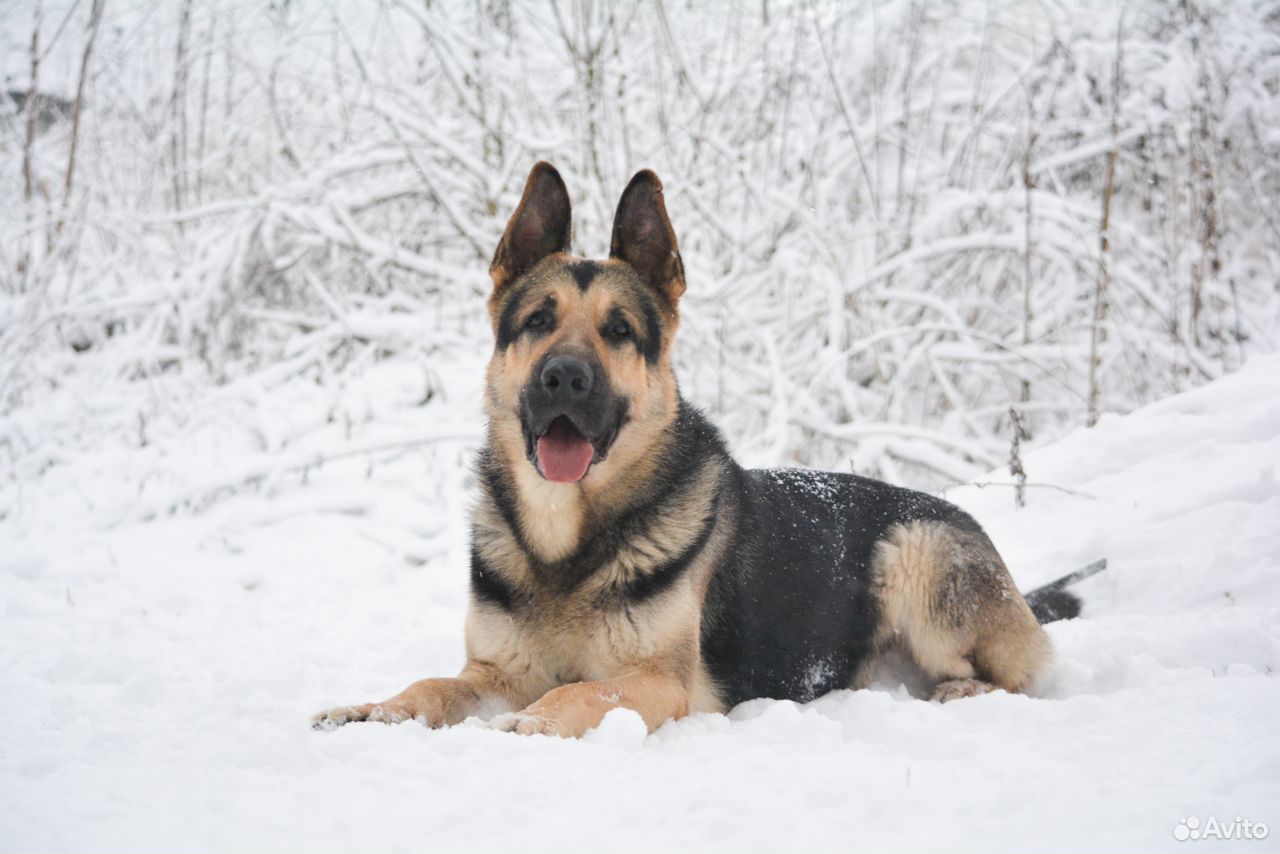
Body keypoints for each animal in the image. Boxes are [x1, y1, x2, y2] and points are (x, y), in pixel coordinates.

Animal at [312, 163, 1090, 737]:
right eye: (536, 321)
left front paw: (528, 724)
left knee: (1018, 678)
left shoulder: (658, 682)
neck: (567, 545)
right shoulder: (495, 672)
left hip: (915, 552)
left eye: (619, 331)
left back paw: (959, 691)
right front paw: (375, 709)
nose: (565, 377)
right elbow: (432, 685)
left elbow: (579, 694)